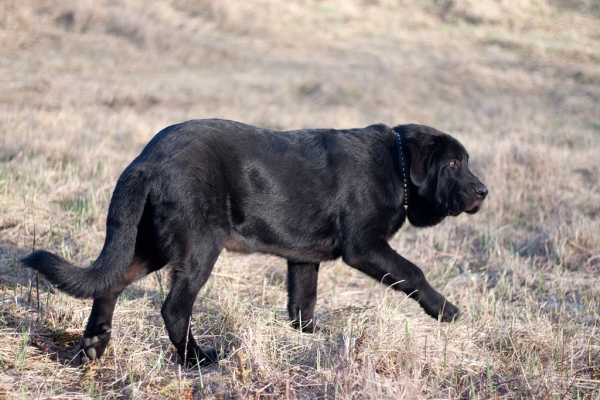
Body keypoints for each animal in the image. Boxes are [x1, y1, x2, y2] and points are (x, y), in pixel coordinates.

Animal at [22, 119, 488, 366]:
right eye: (452, 163)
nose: (483, 191)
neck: (397, 165)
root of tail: (144, 160)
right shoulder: (364, 246)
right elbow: (412, 271)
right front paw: (446, 310)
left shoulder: (304, 259)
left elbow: (302, 303)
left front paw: (310, 338)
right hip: (198, 245)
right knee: (174, 307)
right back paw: (198, 359)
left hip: (149, 243)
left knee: (111, 284)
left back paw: (94, 346)